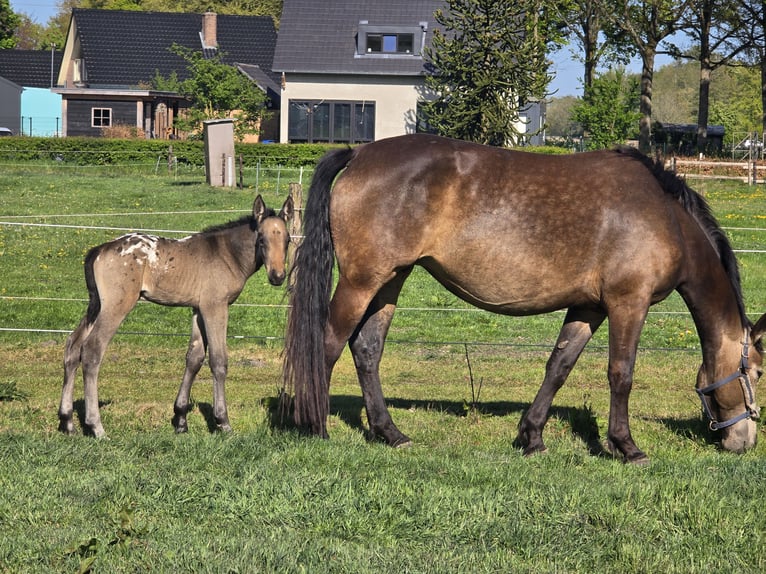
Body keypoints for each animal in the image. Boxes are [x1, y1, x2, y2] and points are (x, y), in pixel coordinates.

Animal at [60, 194, 294, 438]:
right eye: (261, 240)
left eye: (287, 240)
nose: (277, 276)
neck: (226, 254)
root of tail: (100, 250)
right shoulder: (215, 306)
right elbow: (218, 361)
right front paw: (223, 422)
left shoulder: (198, 309)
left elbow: (194, 358)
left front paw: (181, 420)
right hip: (116, 306)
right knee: (92, 349)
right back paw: (96, 426)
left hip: (96, 306)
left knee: (72, 346)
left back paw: (68, 422)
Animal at [283, 133, 766, 463]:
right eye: (757, 373)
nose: (744, 442)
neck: (665, 216)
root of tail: (359, 153)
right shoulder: (629, 302)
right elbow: (621, 374)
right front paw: (626, 446)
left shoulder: (589, 306)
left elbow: (559, 366)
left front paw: (532, 437)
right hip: (361, 281)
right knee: (326, 345)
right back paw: (315, 427)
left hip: (390, 280)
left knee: (367, 349)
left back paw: (390, 433)